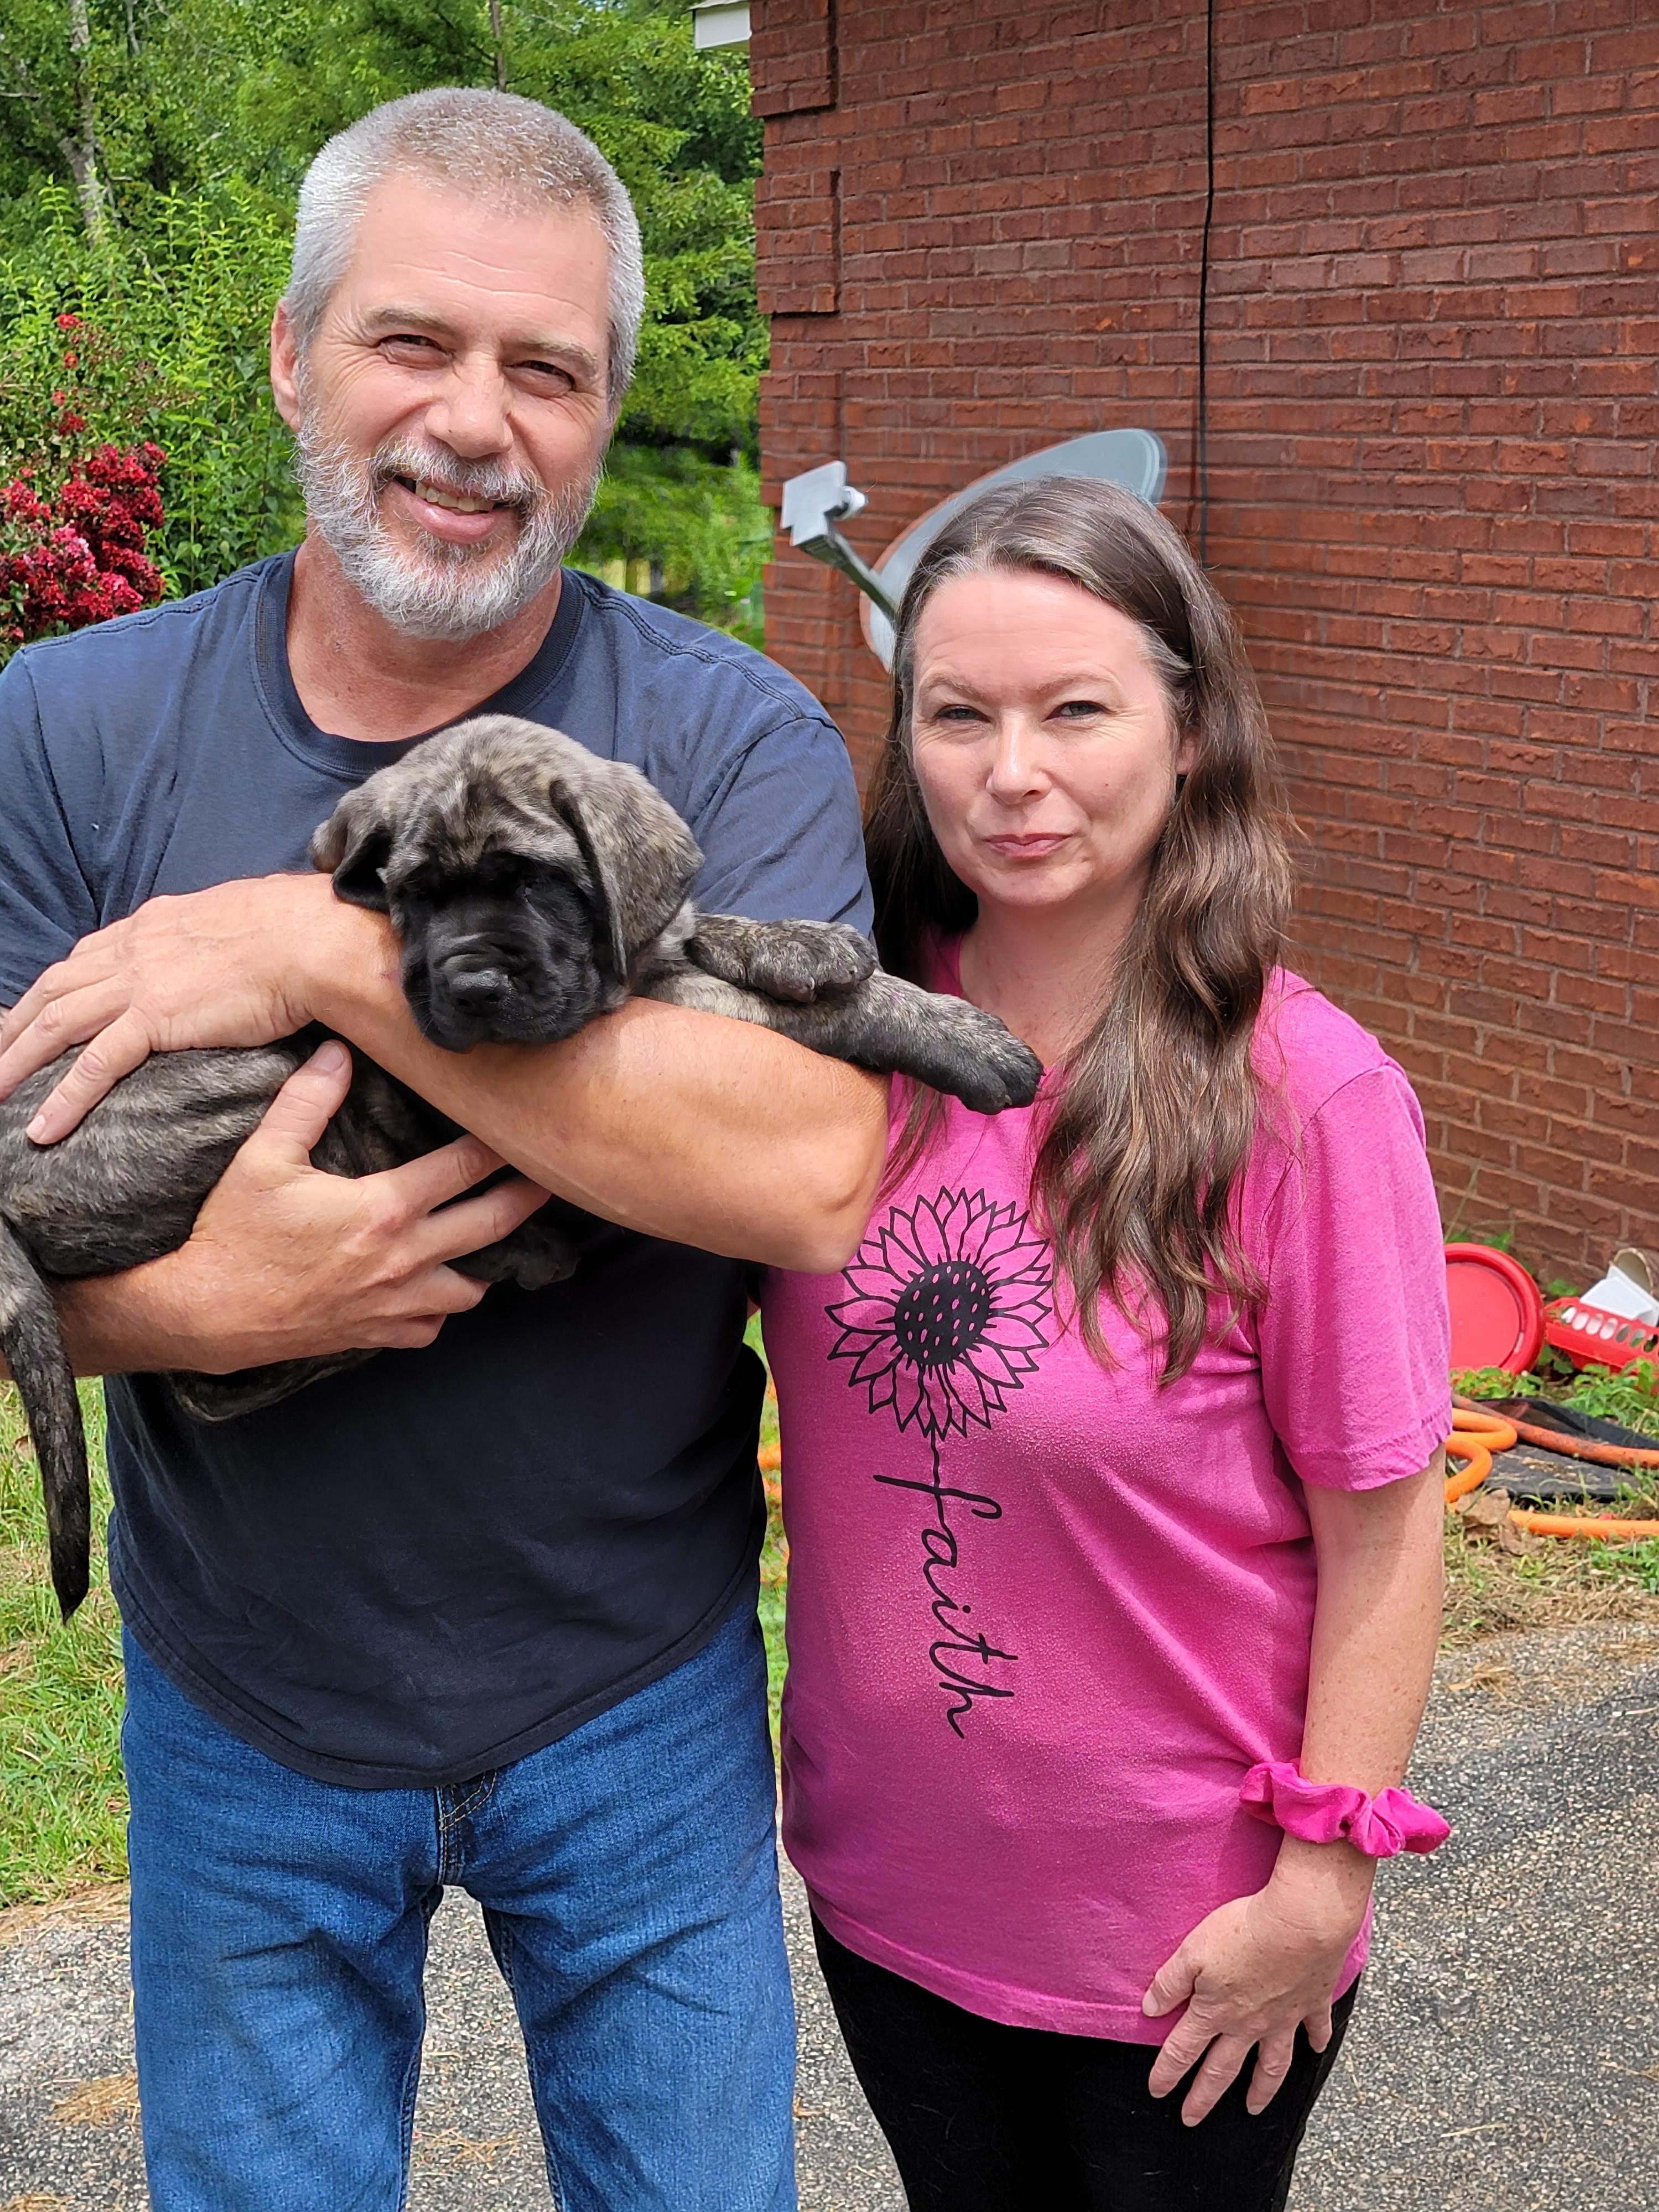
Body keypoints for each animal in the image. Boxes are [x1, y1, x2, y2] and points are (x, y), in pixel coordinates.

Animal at [0, 714, 1043, 1620]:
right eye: (415, 896)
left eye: (538, 883)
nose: (470, 985)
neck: (626, 978)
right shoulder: (652, 1003)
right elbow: (818, 1013)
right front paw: (963, 1039)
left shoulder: (648, 950)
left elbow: (706, 925)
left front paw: (806, 943)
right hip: (259, 1076)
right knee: (219, 1358)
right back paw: (521, 1249)